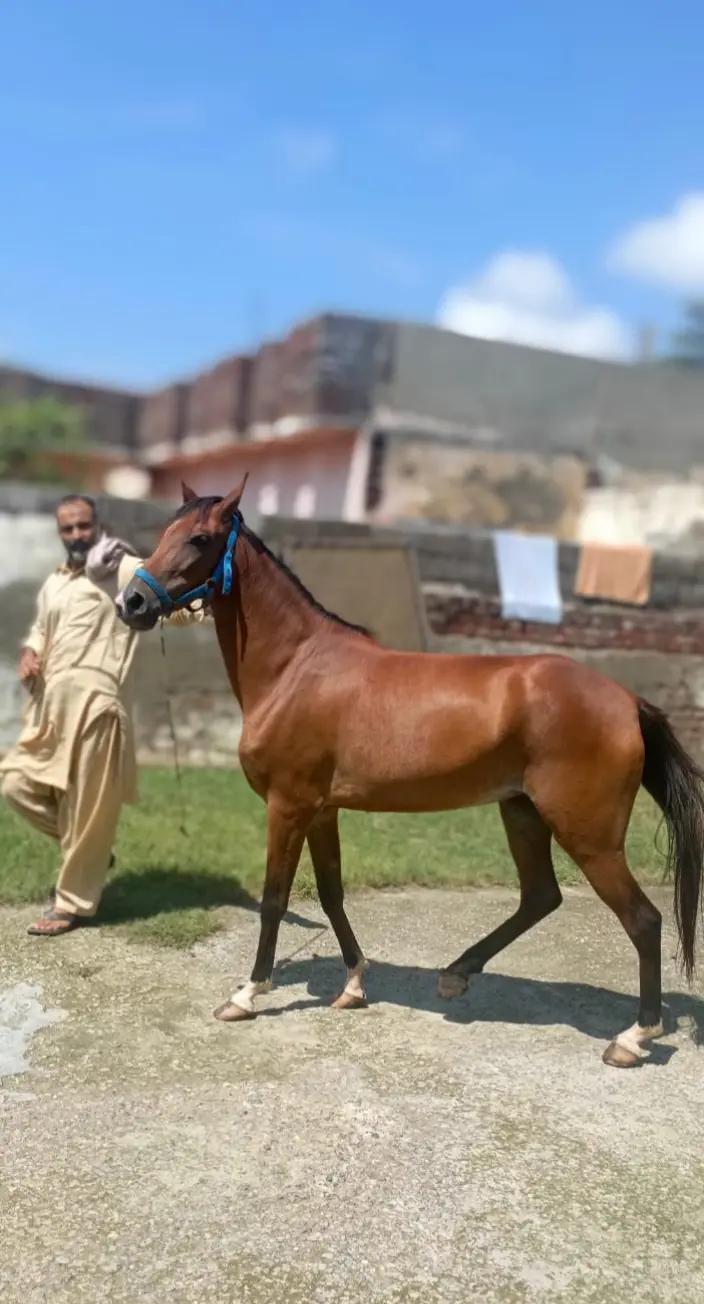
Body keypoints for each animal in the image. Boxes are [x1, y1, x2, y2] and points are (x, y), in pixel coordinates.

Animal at [116, 477, 704, 1068]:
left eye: (200, 538)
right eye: (165, 531)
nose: (132, 602)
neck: (296, 669)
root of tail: (627, 700)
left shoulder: (288, 807)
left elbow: (274, 900)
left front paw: (246, 994)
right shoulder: (321, 811)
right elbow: (331, 893)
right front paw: (353, 985)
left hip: (589, 835)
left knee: (643, 920)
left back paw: (633, 1037)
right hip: (521, 812)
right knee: (541, 897)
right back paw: (456, 975)